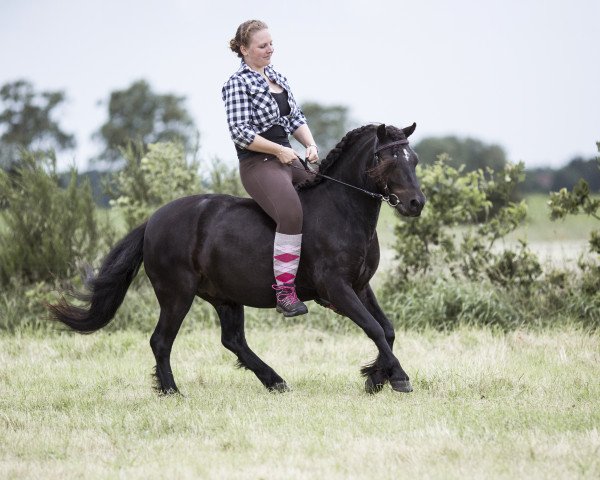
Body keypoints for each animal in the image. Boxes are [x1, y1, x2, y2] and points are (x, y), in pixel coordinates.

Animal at [50, 123, 426, 394]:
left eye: (415, 159)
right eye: (389, 160)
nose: (416, 204)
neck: (343, 210)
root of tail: (153, 221)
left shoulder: (360, 286)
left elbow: (386, 329)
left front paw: (376, 377)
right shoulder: (337, 289)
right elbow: (374, 328)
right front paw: (398, 377)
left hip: (224, 296)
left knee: (232, 340)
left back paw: (275, 381)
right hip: (176, 293)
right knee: (161, 340)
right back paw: (172, 391)